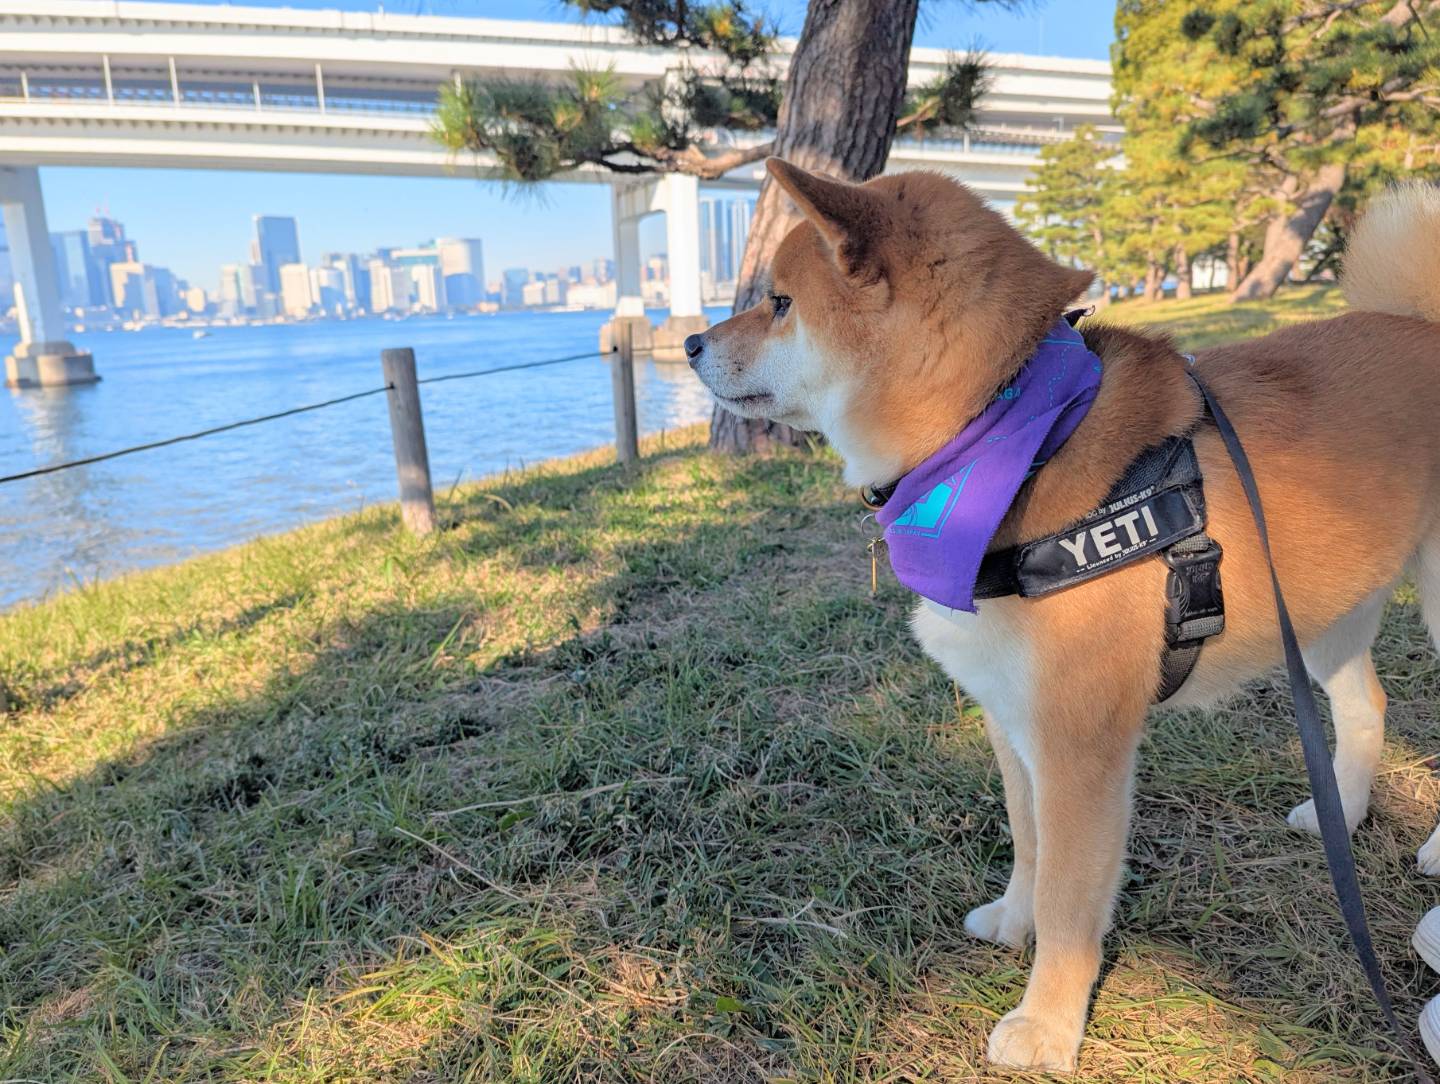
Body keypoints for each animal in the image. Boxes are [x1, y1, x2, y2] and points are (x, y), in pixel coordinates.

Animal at [685, 157, 1440, 1071]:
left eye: (781, 303)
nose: (688, 344)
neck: (1003, 433)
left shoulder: (1080, 747)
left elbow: (1070, 898)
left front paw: (1047, 1025)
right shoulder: (1015, 724)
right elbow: (1029, 845)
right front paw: (1014, 923)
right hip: (1326, 615)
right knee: (1367, 707)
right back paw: (1344, 812)